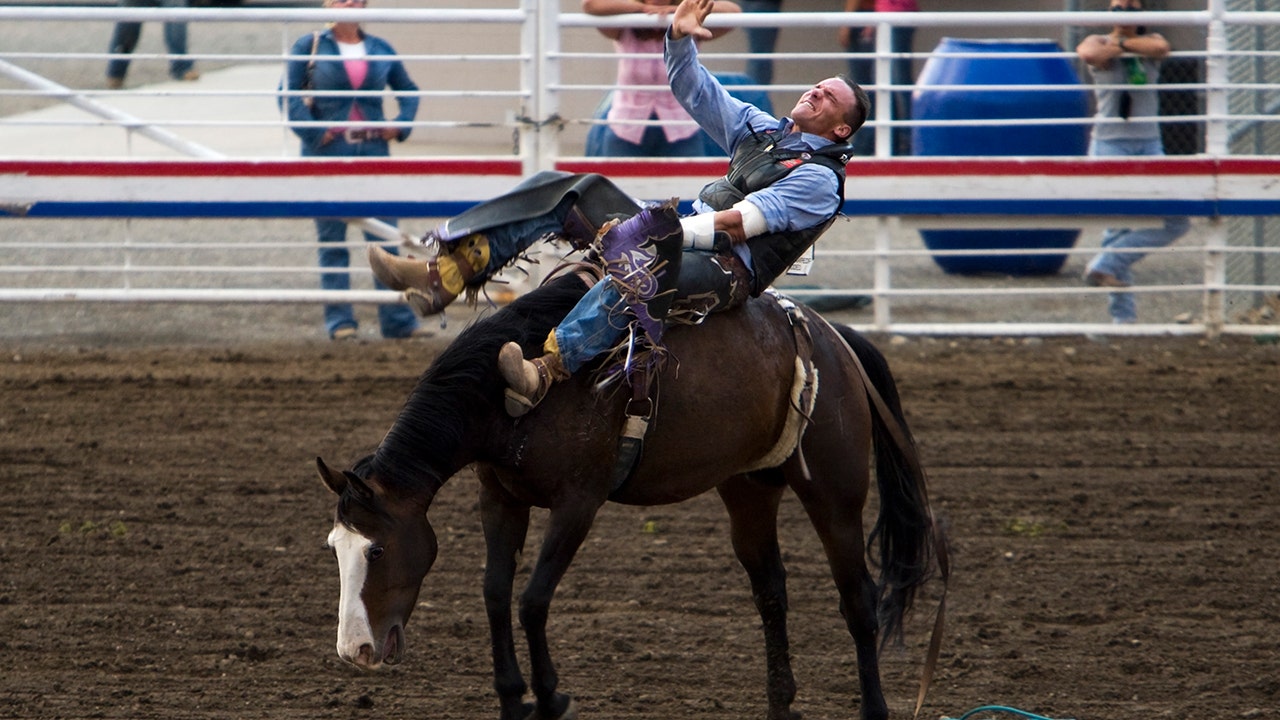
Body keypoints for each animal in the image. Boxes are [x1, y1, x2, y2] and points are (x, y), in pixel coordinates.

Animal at [316, 270, 947, 717]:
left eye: (376, 549)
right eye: (334, 549)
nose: (354, 652)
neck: (512, 395)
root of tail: (836, 341)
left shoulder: (578, 503)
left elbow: (532, 600)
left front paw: (550, 698)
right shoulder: (500, 497)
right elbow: (496, 593)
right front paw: (513, 697)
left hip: (835, 492)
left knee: (859, 600)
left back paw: (874, 708)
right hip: (748, 489)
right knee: (771, 592)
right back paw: (781, 706)